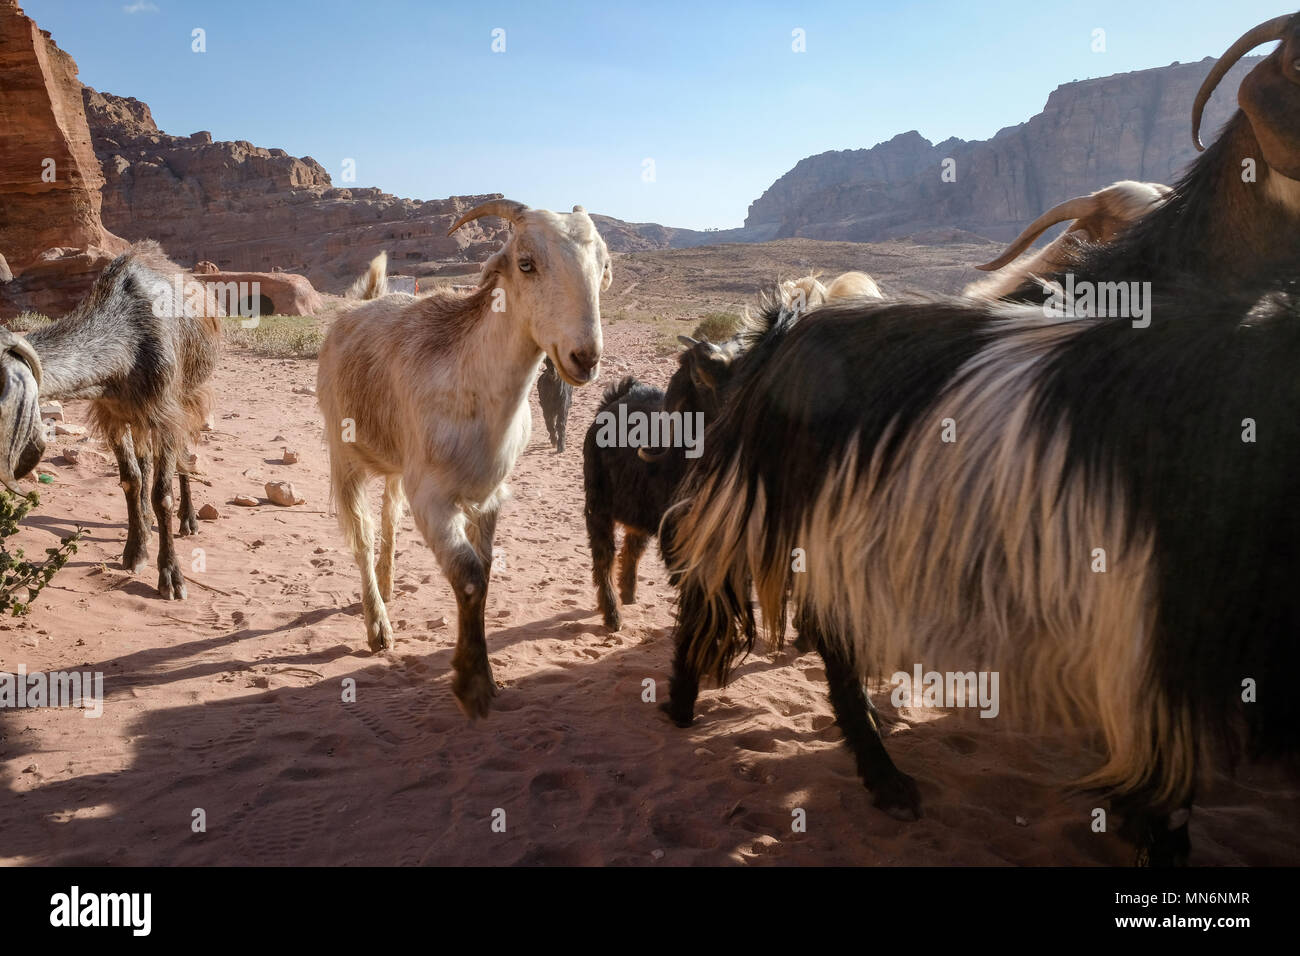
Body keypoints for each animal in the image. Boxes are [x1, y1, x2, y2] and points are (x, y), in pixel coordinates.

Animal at [0, 242, 219, 599]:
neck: (129, 340)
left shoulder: (165, 412)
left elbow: (163, 493)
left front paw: (171, 576)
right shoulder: (111, 414)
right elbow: (131, 479)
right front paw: (135, 550)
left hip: (191, 394)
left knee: (186, 455)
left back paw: (188, 520)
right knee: (145, 463)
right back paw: (145, 520)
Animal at [317, 200, 611, 719]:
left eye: (604, 266)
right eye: (525, 263)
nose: (585, 357)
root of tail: (357, 305)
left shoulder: (489, 496)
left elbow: (485, 573)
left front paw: (485, 675)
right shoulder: (434, 501)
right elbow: (470, 578)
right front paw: (472, 684)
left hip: (396, 461)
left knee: (389, 516)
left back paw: (388, 587)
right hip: (343, 450)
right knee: (362, 535)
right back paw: (378, 625)